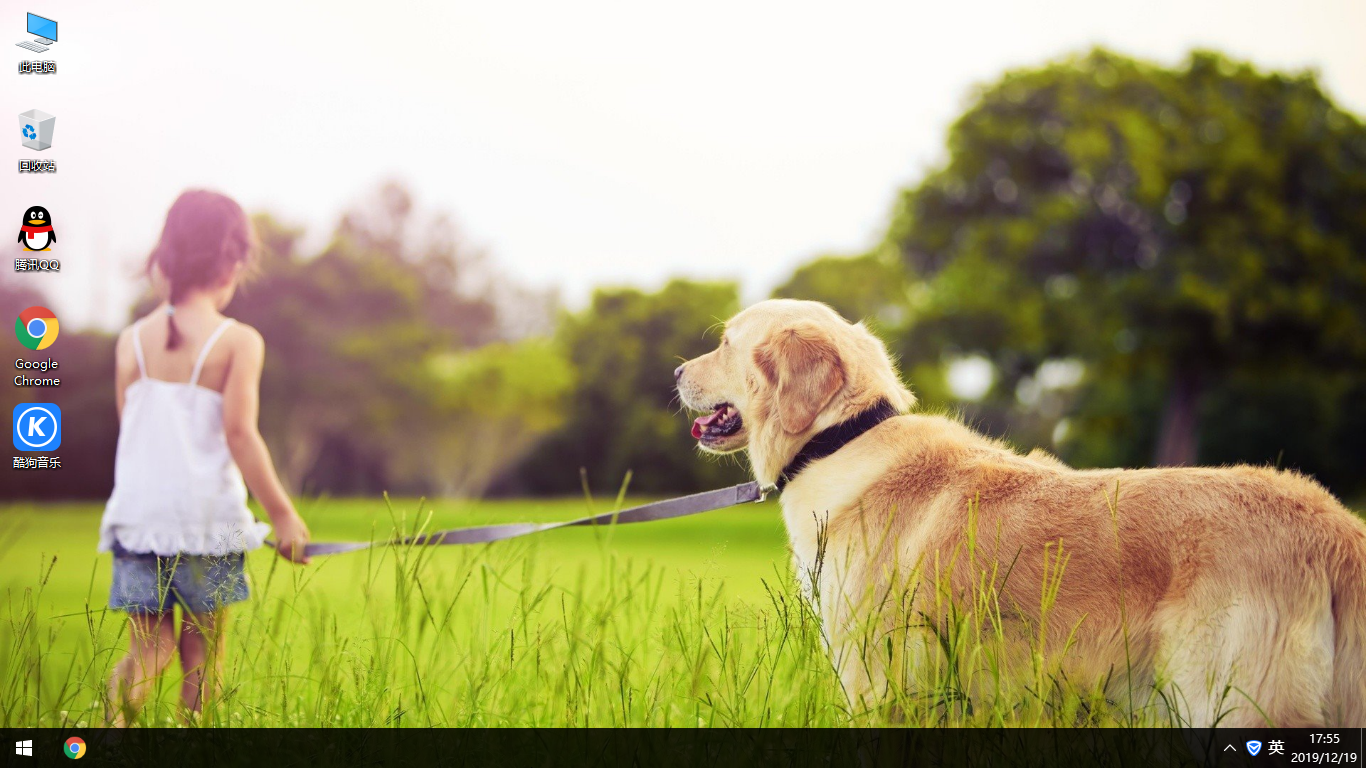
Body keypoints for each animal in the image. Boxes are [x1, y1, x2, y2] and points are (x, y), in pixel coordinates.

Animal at [674, 296, 1366, 721]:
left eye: (727, 343)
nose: (676, 372)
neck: (840, 438)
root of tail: (1335, 525)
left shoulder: (874, 682)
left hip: (1228, 700)